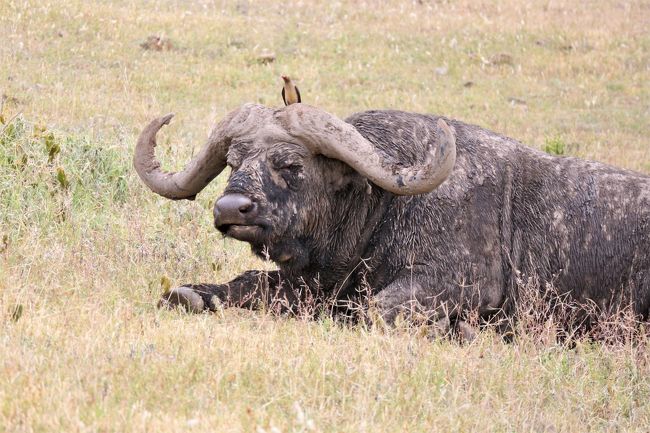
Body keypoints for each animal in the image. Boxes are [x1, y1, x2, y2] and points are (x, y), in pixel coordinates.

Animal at [133, 103, 648, 332]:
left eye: (291, 164)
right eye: (234, 162)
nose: (229, 209)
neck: (380, 209)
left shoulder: (457, 283)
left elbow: (373, 310)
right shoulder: (314, 282)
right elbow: (247, 283)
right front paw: (191, 294)